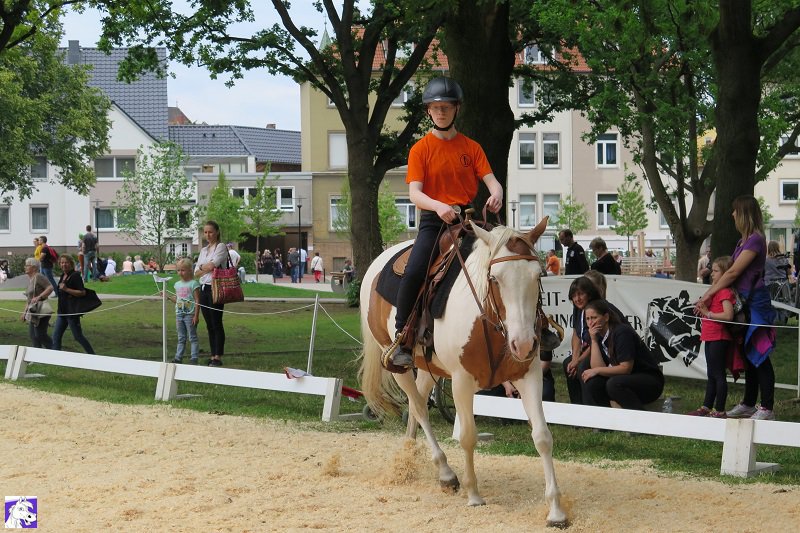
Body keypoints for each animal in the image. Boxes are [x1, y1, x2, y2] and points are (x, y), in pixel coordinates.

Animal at [359, 218, 567, 527]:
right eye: (495, 278)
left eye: (537, 276)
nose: (524, 344)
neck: (489, 320)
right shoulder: (461, 381)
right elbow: (467, 435)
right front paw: (474, 495)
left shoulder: (529, 375)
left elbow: (542, 436)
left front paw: (555, 511)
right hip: (397, 363)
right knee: (419, 408)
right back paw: (445, 472)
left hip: (426, 367)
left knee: (418, 402)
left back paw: (408, 456)